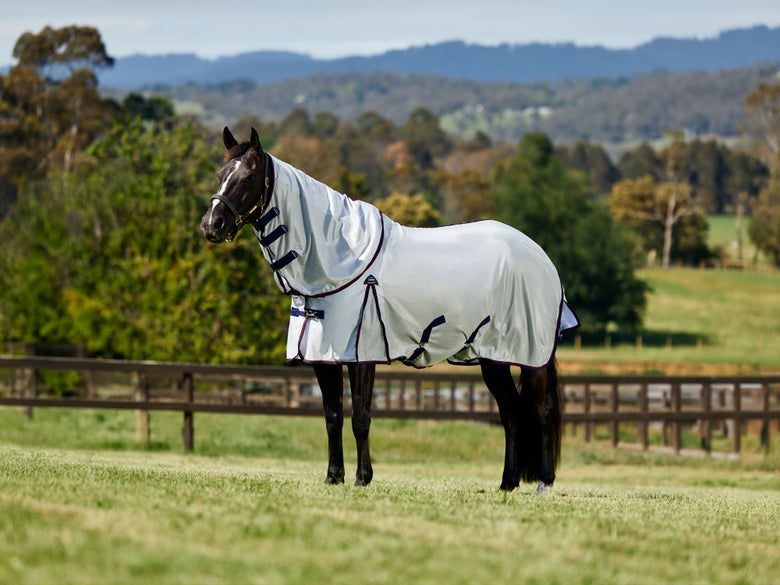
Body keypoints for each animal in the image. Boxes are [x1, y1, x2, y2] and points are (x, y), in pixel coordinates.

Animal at [200, 127, 579, 493]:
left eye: (249, 176)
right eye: (220, 173)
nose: (211, 225)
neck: (339, 256)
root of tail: (540, 256)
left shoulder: (362, 354)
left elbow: (361, 417)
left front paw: (362, 478)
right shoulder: (323, 355)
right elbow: (332, 417)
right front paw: (333, 477)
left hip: (531, 355)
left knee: (541, 409)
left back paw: (543, 483)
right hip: (493, 357)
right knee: (511, 412)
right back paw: (507, 484)